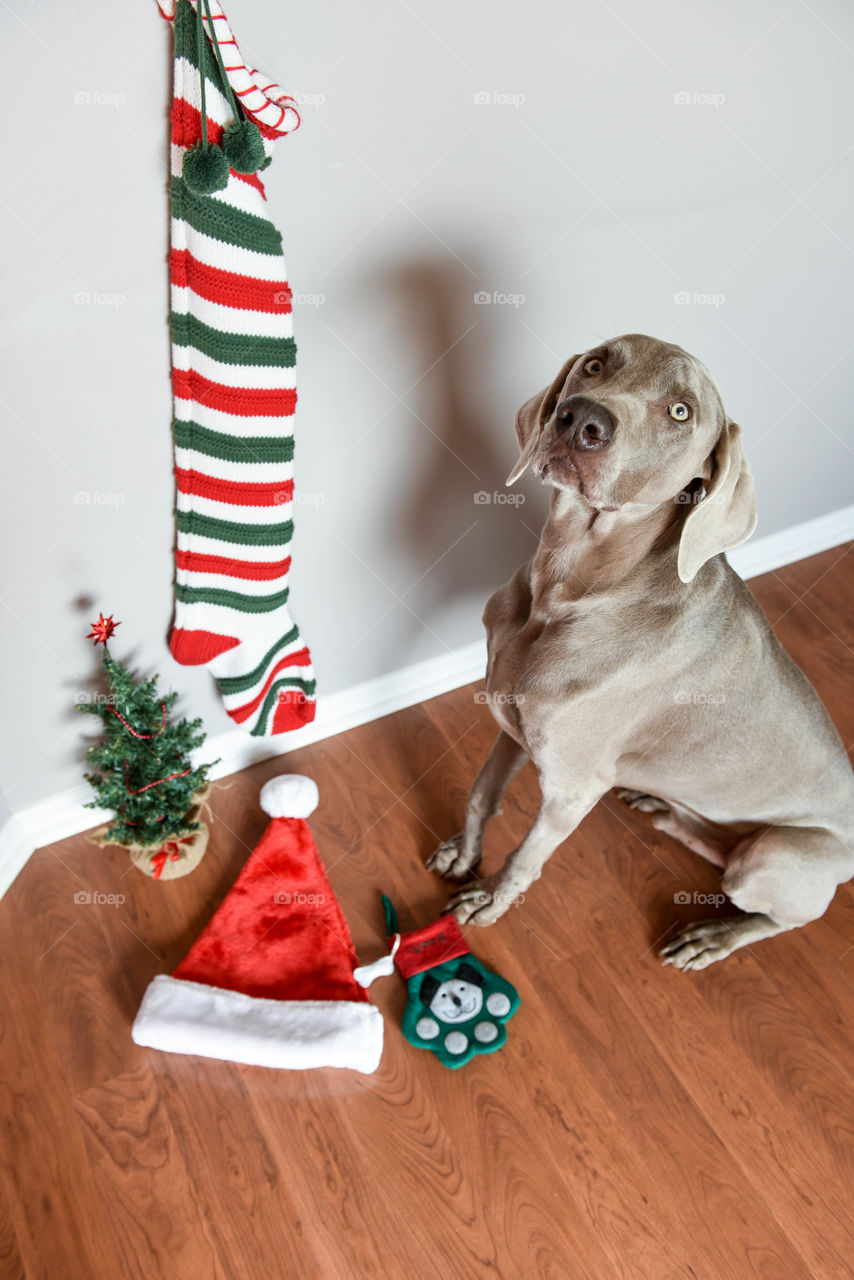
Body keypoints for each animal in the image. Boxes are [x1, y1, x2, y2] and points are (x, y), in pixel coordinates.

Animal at [427, 332, 854, 967]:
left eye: (680, 412)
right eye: (595, 364)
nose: (581, 418)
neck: (567, 587)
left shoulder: (573, 786)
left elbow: (527, 856)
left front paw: (489, 901)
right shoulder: (512, 724)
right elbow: (482, 794)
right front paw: (463, 855)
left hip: (774, 857)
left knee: (773, 913)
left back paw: (711, 937)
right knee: (720, 849)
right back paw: (663, 811)